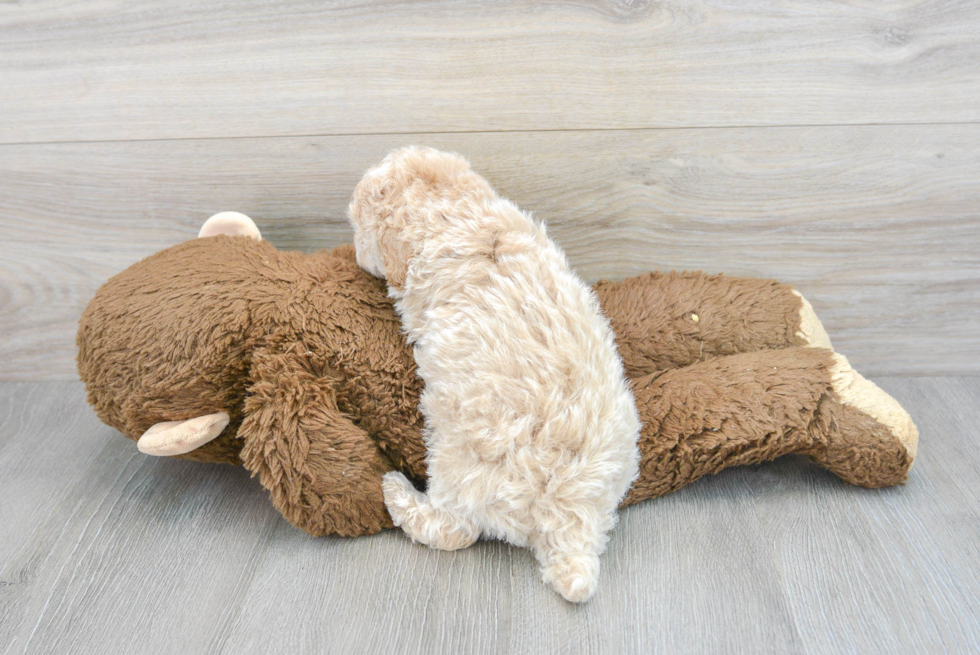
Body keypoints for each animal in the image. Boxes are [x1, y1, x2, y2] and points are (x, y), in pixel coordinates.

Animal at [348, 149, 640, 604]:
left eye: (359, 228)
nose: (354, 254)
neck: (455, 207)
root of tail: (568, 512)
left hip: (462, 465)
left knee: (454, 530)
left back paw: (396, 492)